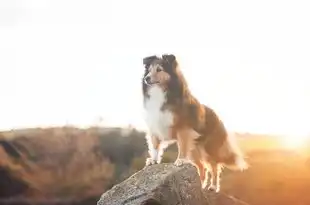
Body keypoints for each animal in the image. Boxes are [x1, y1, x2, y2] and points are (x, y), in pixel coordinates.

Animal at [142, 53, 248, 191]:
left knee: (214, 166)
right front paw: (153, 161)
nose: (146, 78)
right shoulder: (154, 126)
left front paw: (180, 160)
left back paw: (213, 186)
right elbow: (154, 146)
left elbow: (182, 147)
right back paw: (202, 186)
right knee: (202, 167)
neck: (161, 93)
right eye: (148, 70)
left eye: (159, 69)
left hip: (208, 148)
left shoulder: (183, 129)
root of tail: (219, 118)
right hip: (195, 150)